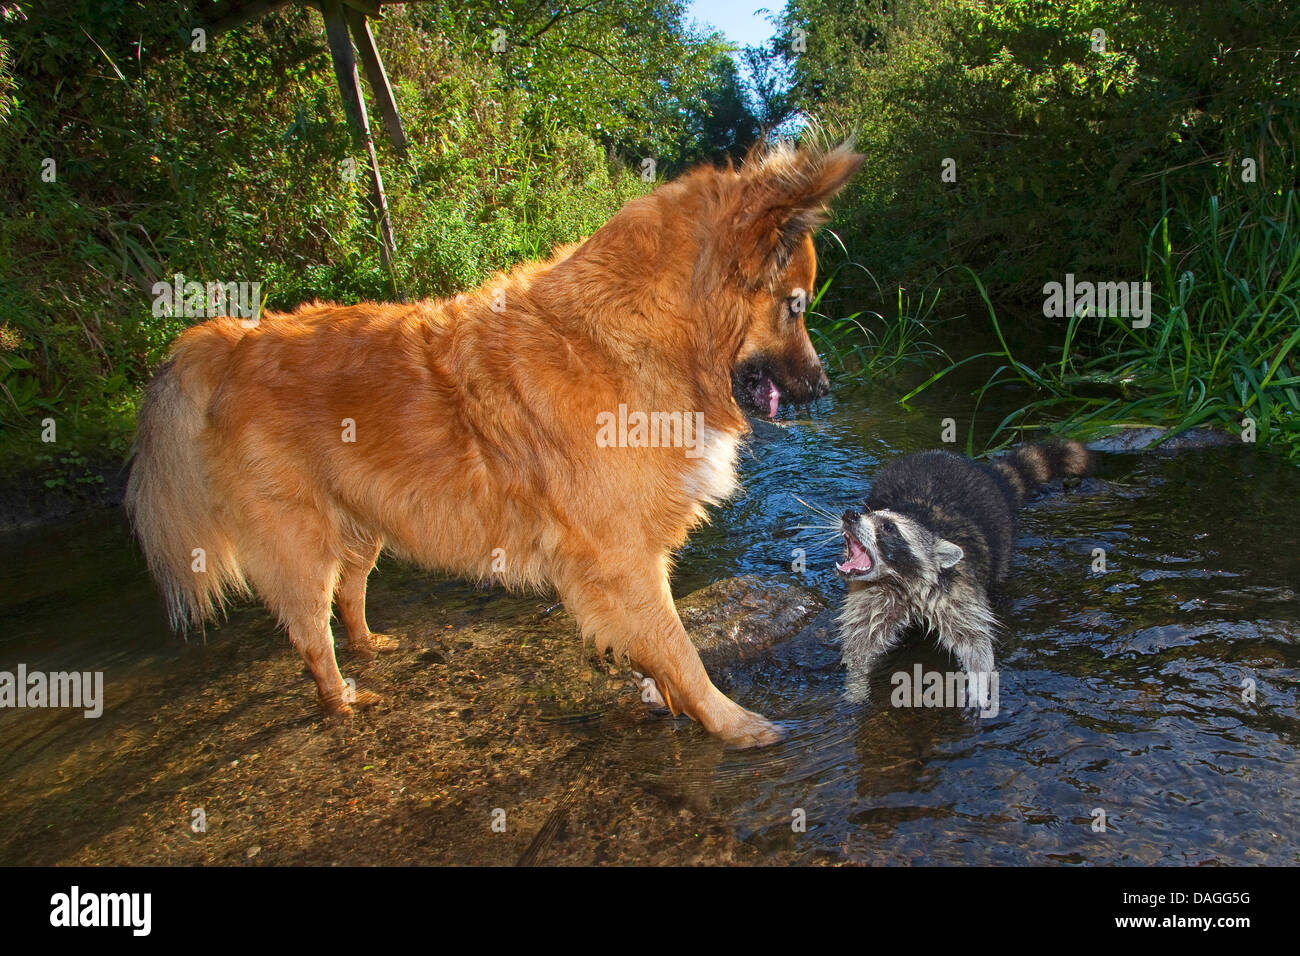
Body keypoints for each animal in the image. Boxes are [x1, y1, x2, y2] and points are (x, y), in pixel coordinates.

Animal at [126, 140, 863, 749]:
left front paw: (672, 703)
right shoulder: (622, 560)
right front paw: (732, 723)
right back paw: (342, 701)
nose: (826, 387)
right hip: (299, 543)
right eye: (796, 305)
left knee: (350, 597)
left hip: (363, 523)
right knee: (311, 635)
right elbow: (680, 649)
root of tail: (231, 339)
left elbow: (660, 654)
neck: (635, 337)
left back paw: (370, 648)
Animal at [826, 442, 1092, 702]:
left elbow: (974, 640)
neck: (902, 582)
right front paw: (856, 680)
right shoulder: (873, 596)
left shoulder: (957, 587)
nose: (850, 515)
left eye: (888, 527)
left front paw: (978, 681)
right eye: (869, 513)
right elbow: (863, 641)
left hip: (1002, 537)